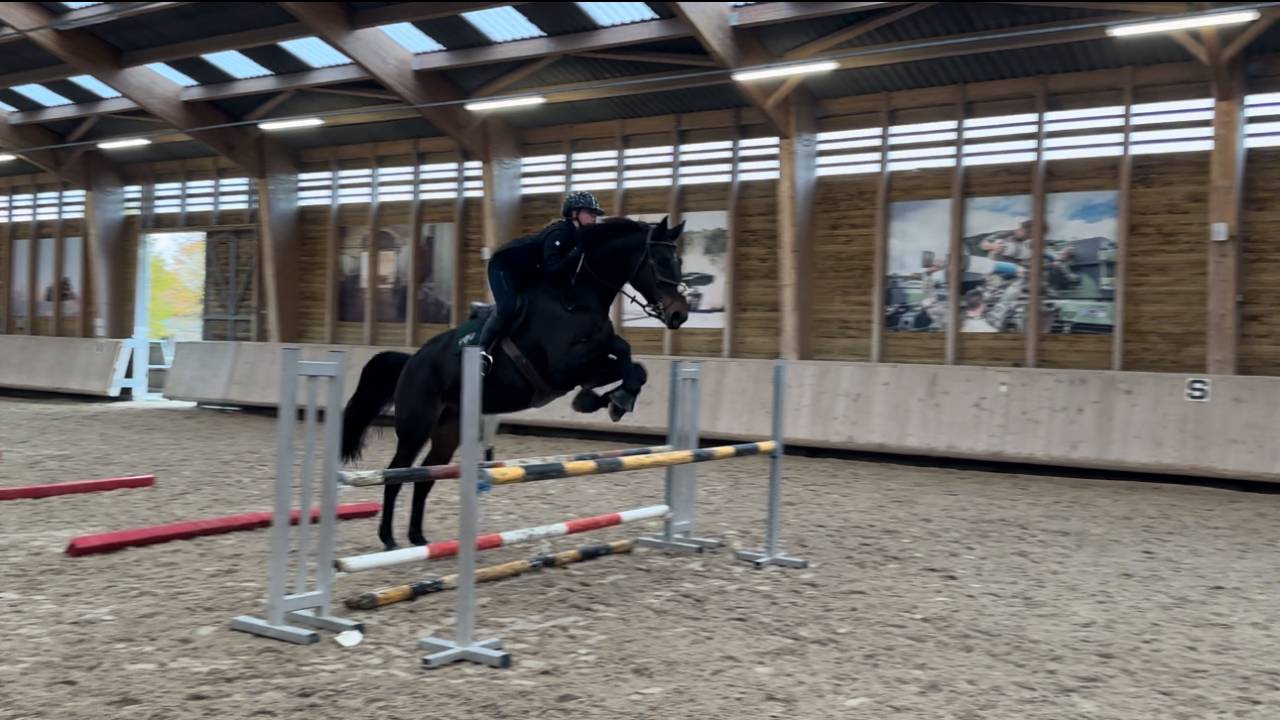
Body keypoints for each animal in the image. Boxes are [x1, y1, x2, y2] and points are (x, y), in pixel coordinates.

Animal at [340, 216, 691, 550]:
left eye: (678, 260)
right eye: (660, 261)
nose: (680, 315)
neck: (576, 297)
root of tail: (411, 361)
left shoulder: (584, 369)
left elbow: (634, 367)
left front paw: (611, 401)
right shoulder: (564, 367)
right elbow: (621, 351)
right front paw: (608, 400)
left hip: (448, 431)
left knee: (425, 476)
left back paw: (418, 538)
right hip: (416, 428)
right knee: (395, 475)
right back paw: (389, 538)